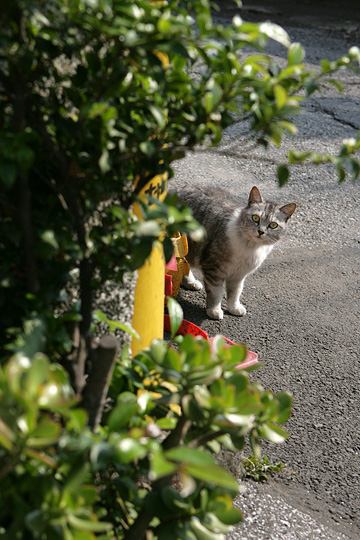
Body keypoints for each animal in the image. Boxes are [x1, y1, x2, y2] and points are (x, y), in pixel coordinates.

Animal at [174, 186, 296, 320]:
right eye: (255, 218)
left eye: (273, 225)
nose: (261, 231)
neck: (250, 247)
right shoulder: (214, 269)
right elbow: (216, 293)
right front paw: (214, 311)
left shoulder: (239, 275)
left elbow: (235, 293)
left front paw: (234, 308)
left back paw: (190, 282)